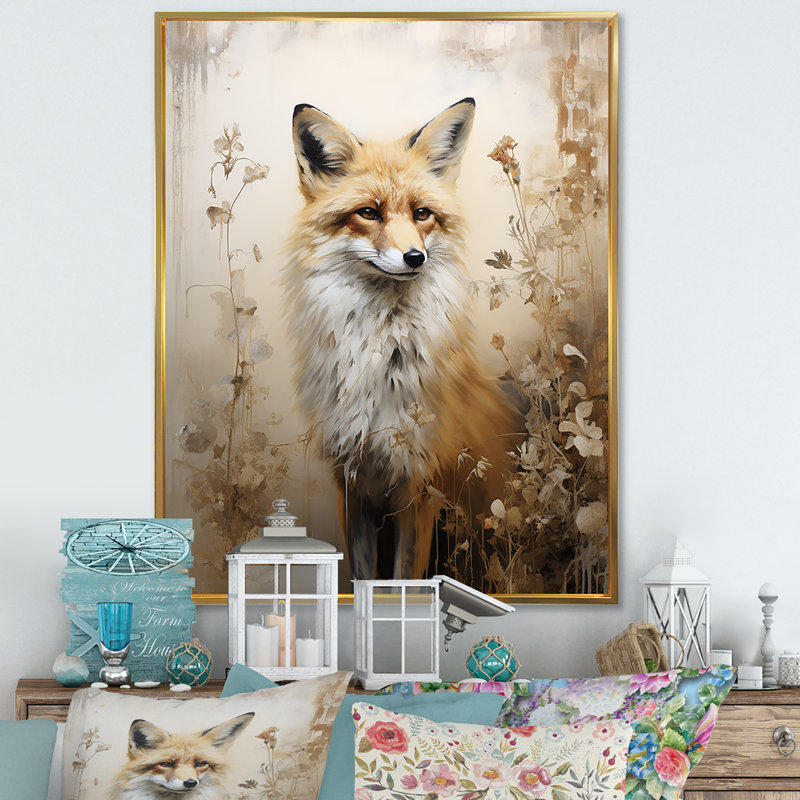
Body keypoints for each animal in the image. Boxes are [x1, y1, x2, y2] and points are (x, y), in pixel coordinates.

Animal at [284, 97, 520, 580]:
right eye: (368, 213)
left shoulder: (420, 486)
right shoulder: (352, 483)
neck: (381, 356)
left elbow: (401, 582)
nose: (415, 257)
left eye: (422, 214)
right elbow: (362, 578)